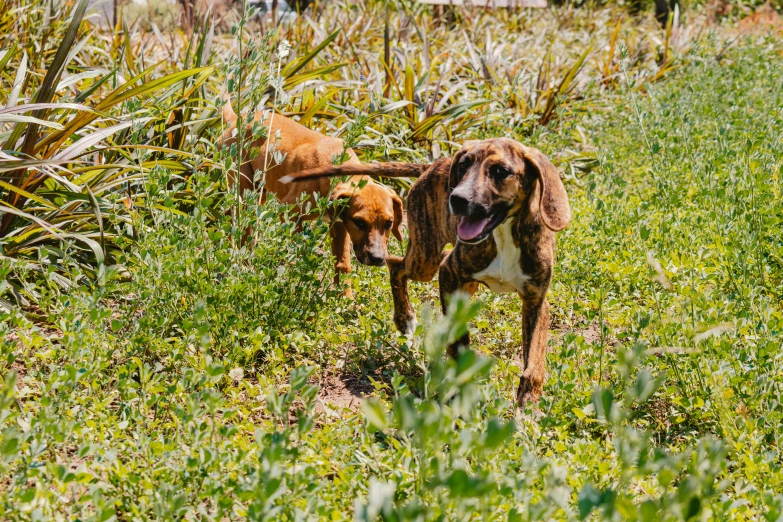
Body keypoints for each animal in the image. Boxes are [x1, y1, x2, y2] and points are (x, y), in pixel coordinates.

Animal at [220, 104, 404, 292]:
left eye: (389, 223)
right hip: (247, 192)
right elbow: (300, 256)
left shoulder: (339, 223)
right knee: (244, 231)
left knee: (229, 216)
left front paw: (344, 297)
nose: (377, 258)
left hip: (258, 193)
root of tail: (235, 118)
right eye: (359, 222)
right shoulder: (290, 213)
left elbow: (342, 264)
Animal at [282, 139, 568, 406]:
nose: (457, 199)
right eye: (464, 165)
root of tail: (433, 164)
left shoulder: (536, 301)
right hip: (425, 260)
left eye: (501, 171)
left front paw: (527, 407)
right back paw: (406, 320)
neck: (504, 235)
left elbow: (534, 362)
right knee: (397, 266)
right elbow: (457, 336)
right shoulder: (450, 274)